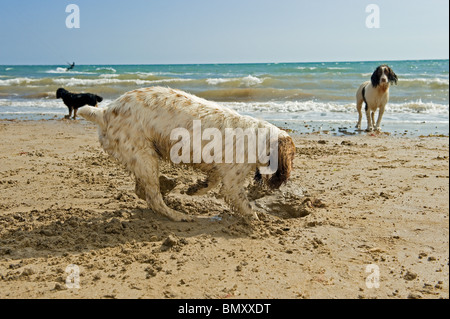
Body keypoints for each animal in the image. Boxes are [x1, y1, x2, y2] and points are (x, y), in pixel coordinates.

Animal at [78, 87, 296, 222]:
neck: (260, 137)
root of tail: (104, 112)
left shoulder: (219, 170)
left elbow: (211, 182)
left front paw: (195, 189)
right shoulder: (233, 183)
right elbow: (244, 204)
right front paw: (257, 220)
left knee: (144, 191)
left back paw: (168, 187)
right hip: (145, 157)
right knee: (154, 198)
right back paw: (177, 215)